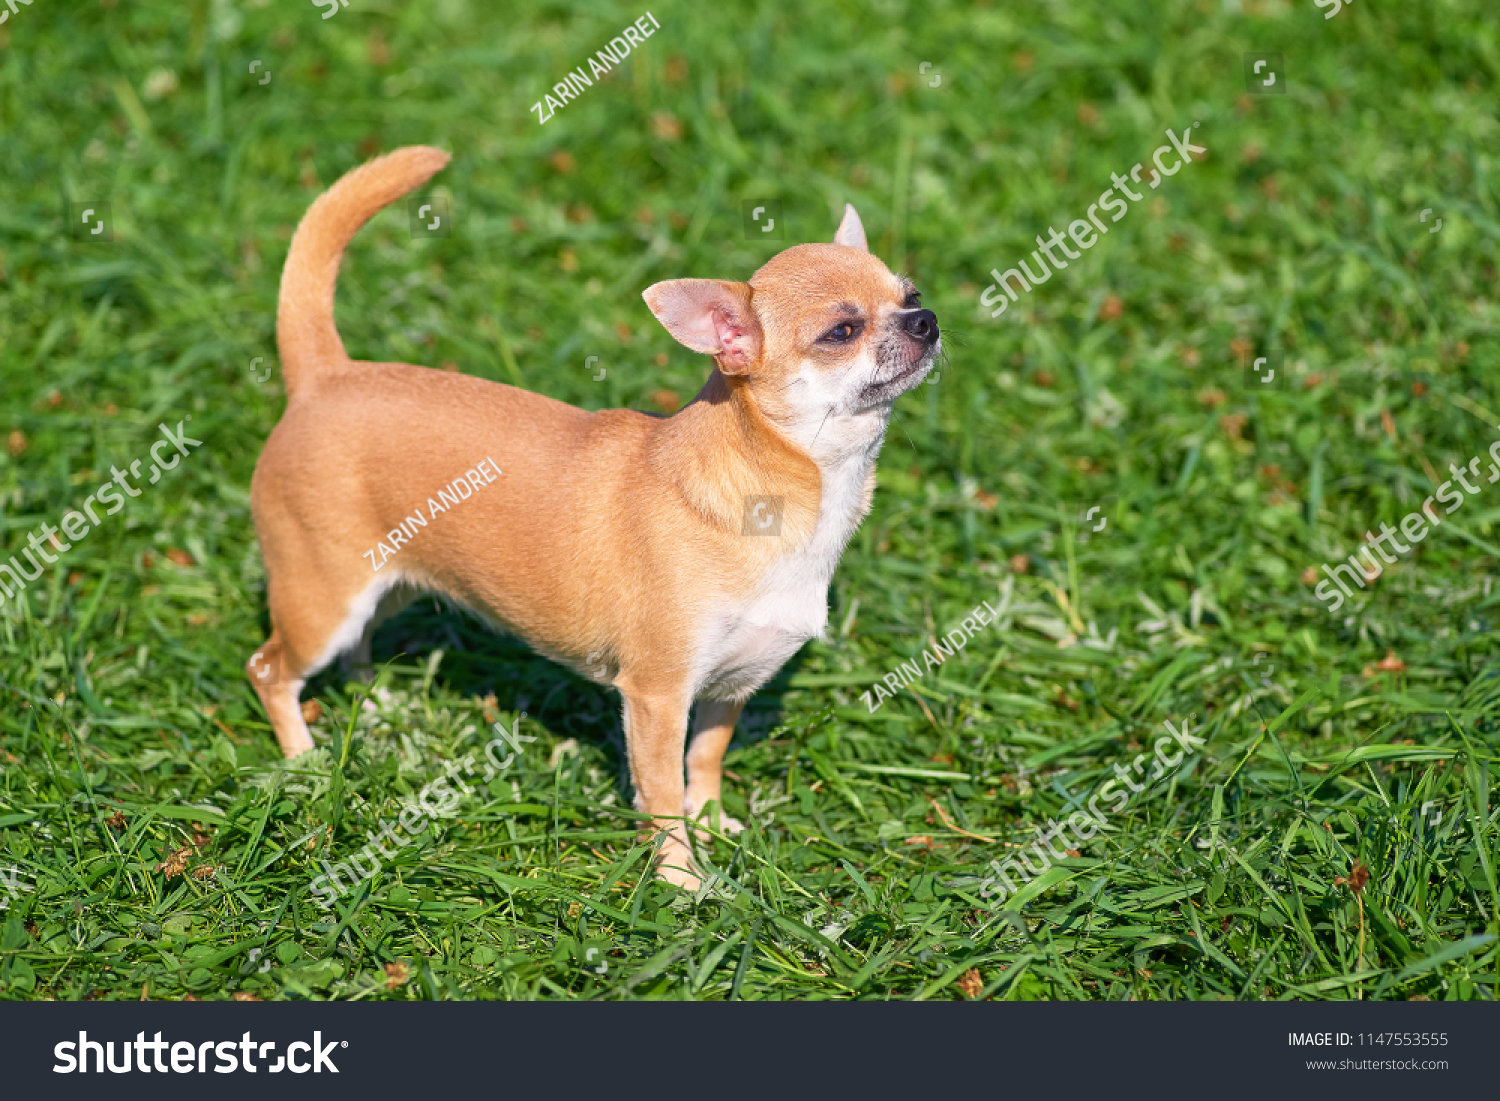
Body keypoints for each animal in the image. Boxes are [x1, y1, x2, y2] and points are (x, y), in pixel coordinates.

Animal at [252, 148, 942, 888]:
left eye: (909, 295)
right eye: (842, 331)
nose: (927, 319)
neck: (797, 490)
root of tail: (326, 376)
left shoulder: (730, 689)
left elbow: (704, 762)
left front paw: (710, 822)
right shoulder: (657, 698)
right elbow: (662, 791)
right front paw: (681, 880)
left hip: (389, 583)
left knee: (357, 645)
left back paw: (374, 704)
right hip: (321, 600)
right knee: (270, 670)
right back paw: (303, 758)